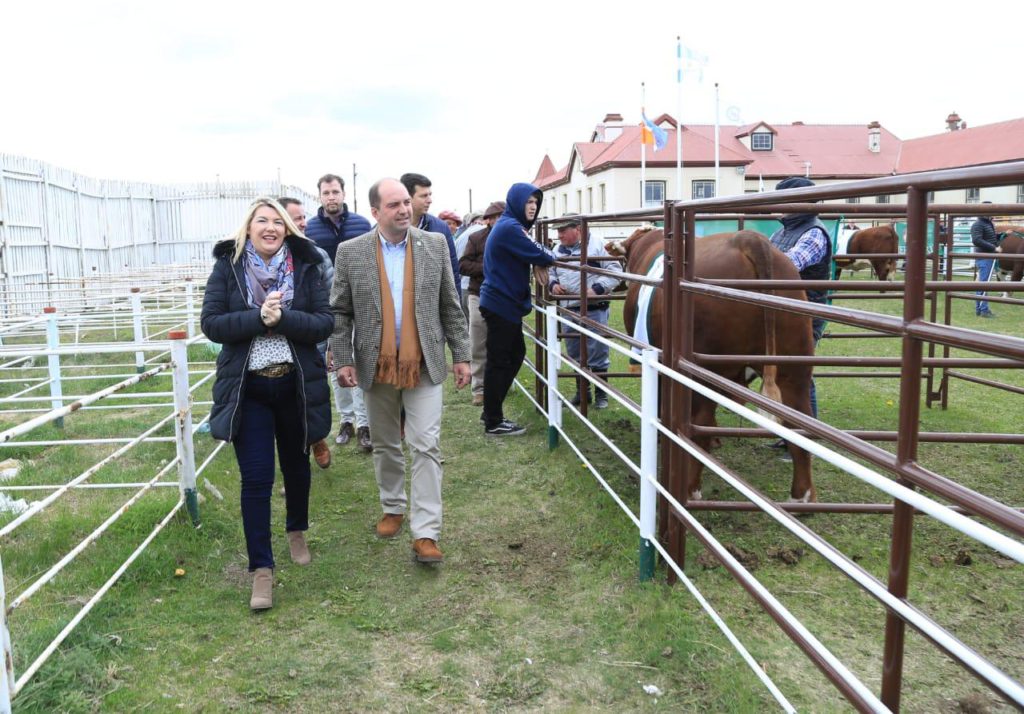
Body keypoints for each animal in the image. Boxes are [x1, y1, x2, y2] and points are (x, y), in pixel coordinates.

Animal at [606, 228, 815, 501]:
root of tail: (749, 239)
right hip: (793, 369)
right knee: (800, 426)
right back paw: (801, 496)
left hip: (704, 370)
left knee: (700, 426)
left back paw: (690, 489)